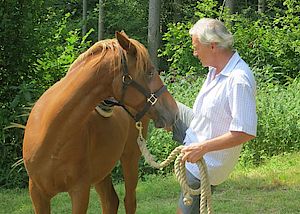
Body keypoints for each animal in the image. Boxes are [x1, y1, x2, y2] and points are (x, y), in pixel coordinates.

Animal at [24, 32, 178, 214]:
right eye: (150, 72)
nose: (174, 111)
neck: (53, 135)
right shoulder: (37, 194)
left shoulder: (80, 191)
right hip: (102, 171)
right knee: (111, 201)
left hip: (130, 157)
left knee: (129, 201)